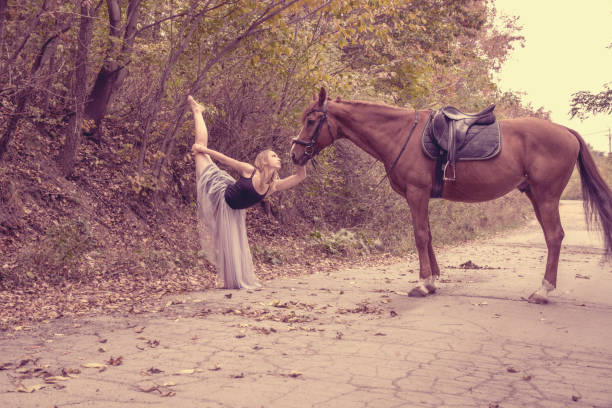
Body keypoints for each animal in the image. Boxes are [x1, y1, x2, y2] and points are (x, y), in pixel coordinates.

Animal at [290, 87, 612, 304]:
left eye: (310, 121)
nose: (294, 154)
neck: (400, 134)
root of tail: (566, 132)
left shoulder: (416, 194)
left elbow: (420, 235)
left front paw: (422, 284)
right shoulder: (421, 197)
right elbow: (429, 235)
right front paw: (432, 281)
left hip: (546, 197)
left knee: (554, 237)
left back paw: (543, 291)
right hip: (535, 194)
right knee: (552, 236)